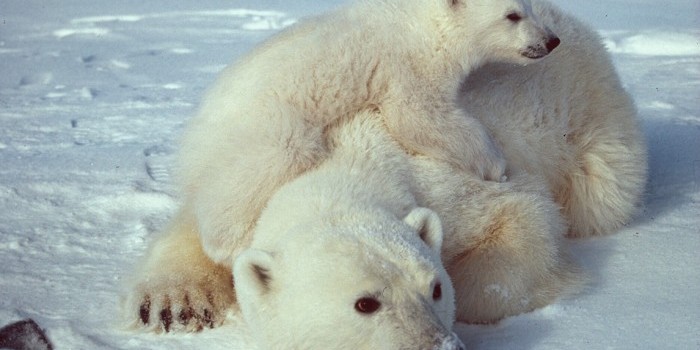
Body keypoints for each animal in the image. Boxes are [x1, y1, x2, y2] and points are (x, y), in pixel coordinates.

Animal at [182, 0, 564, 268]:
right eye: (512, 15)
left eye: (530, 6)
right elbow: (418, 117)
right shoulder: (409, 66)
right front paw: (496, 165)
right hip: (265, 124)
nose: (551, 41)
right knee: (268, 164)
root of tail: (193, 137)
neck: (423, 25)